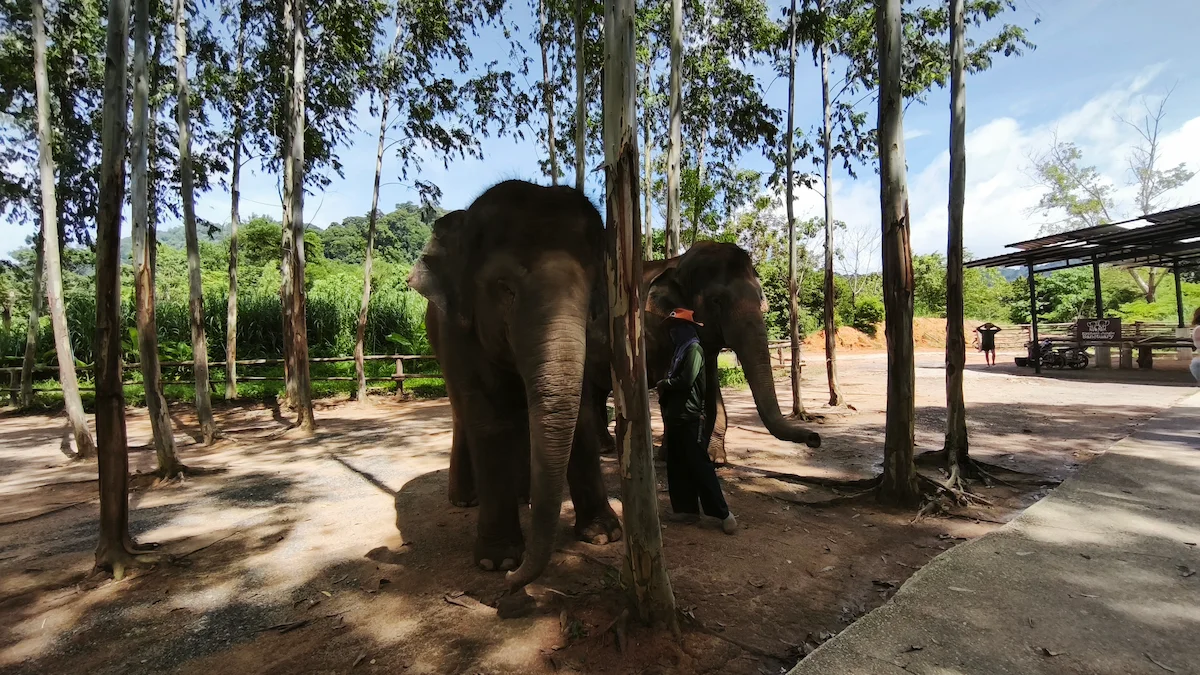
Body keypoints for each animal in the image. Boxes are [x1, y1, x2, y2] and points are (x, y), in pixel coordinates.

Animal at [408, 181, 622, 592]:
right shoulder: (458, 331)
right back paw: (465, 501)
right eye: (504, 289)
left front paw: (604, 535)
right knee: (462, 415)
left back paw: (526, 499)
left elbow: (582, 415)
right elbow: (489, 423)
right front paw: (498, 560)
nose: (514, 578)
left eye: (593, 292)